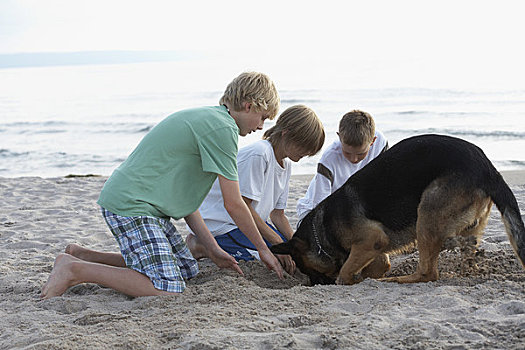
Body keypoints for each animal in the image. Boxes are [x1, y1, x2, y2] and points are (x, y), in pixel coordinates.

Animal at [270, 134, 524, 284]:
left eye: (308, 270)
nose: (313, 285)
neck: (321, 229)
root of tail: (489, 169)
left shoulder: (372, 240)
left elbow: (345, 273)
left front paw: (353, 280)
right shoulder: (376, 250)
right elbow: (372, 266)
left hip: (427, 211)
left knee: (427, 273)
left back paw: (394, 281)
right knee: (465, 255)